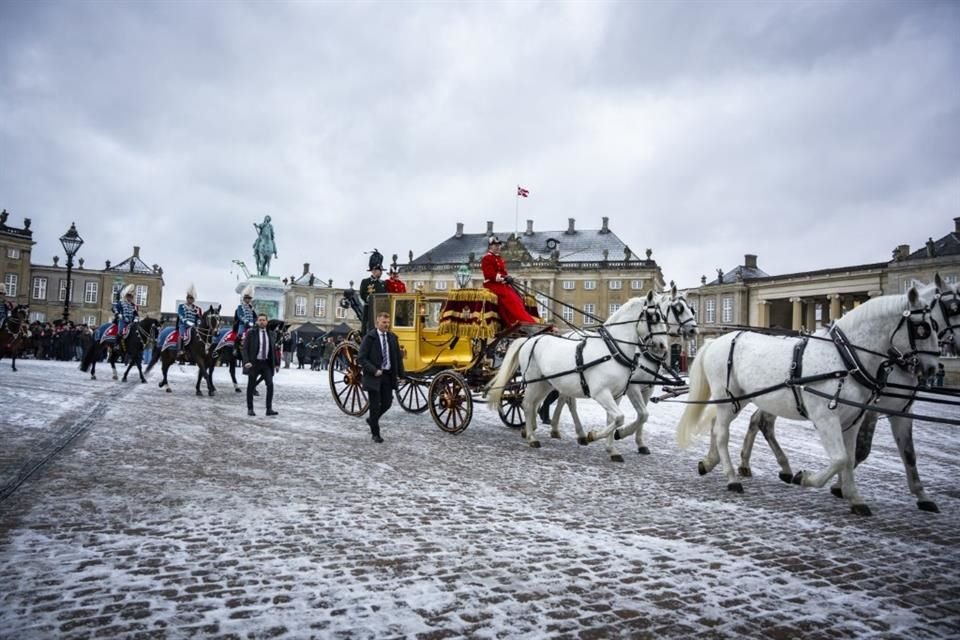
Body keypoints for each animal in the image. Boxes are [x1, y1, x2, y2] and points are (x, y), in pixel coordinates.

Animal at [488, 292, 668, 458]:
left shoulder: (616, 394)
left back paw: (531, 430)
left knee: (535, 404)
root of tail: (530, 339)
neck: (612, 351)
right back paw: (533, 438)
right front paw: (593, 436)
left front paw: (612, 449)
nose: (662, 346)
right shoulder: (602, 392)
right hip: (534, 381)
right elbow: (620, 418)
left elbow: (615, 419)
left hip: (546, 383)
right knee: (526, 404)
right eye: (654, 317)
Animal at [548, 286, 696, 460]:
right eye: (678, 308)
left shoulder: (647, 388)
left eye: (691, 309)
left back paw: (560, 429)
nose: (693, 330)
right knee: (568, 401)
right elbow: (641, 415)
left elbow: (641, 416)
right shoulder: (632, 387)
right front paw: (620, 434)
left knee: (564, 399)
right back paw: (575, 432)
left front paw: (637, 444)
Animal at [680, 288, 940, 516]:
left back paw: (710, 462)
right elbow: (840, 459)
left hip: (737, 399)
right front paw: (804, 478)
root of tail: (716, 341)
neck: (844, 358)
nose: (932, 369)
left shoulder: (853, 420)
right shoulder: (826, 417)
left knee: (716, 426)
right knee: (722, 434)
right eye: (923, 329)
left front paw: (854, 497)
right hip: (728, 398)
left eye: (935, 326)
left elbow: (849, 458)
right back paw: (732, 478)